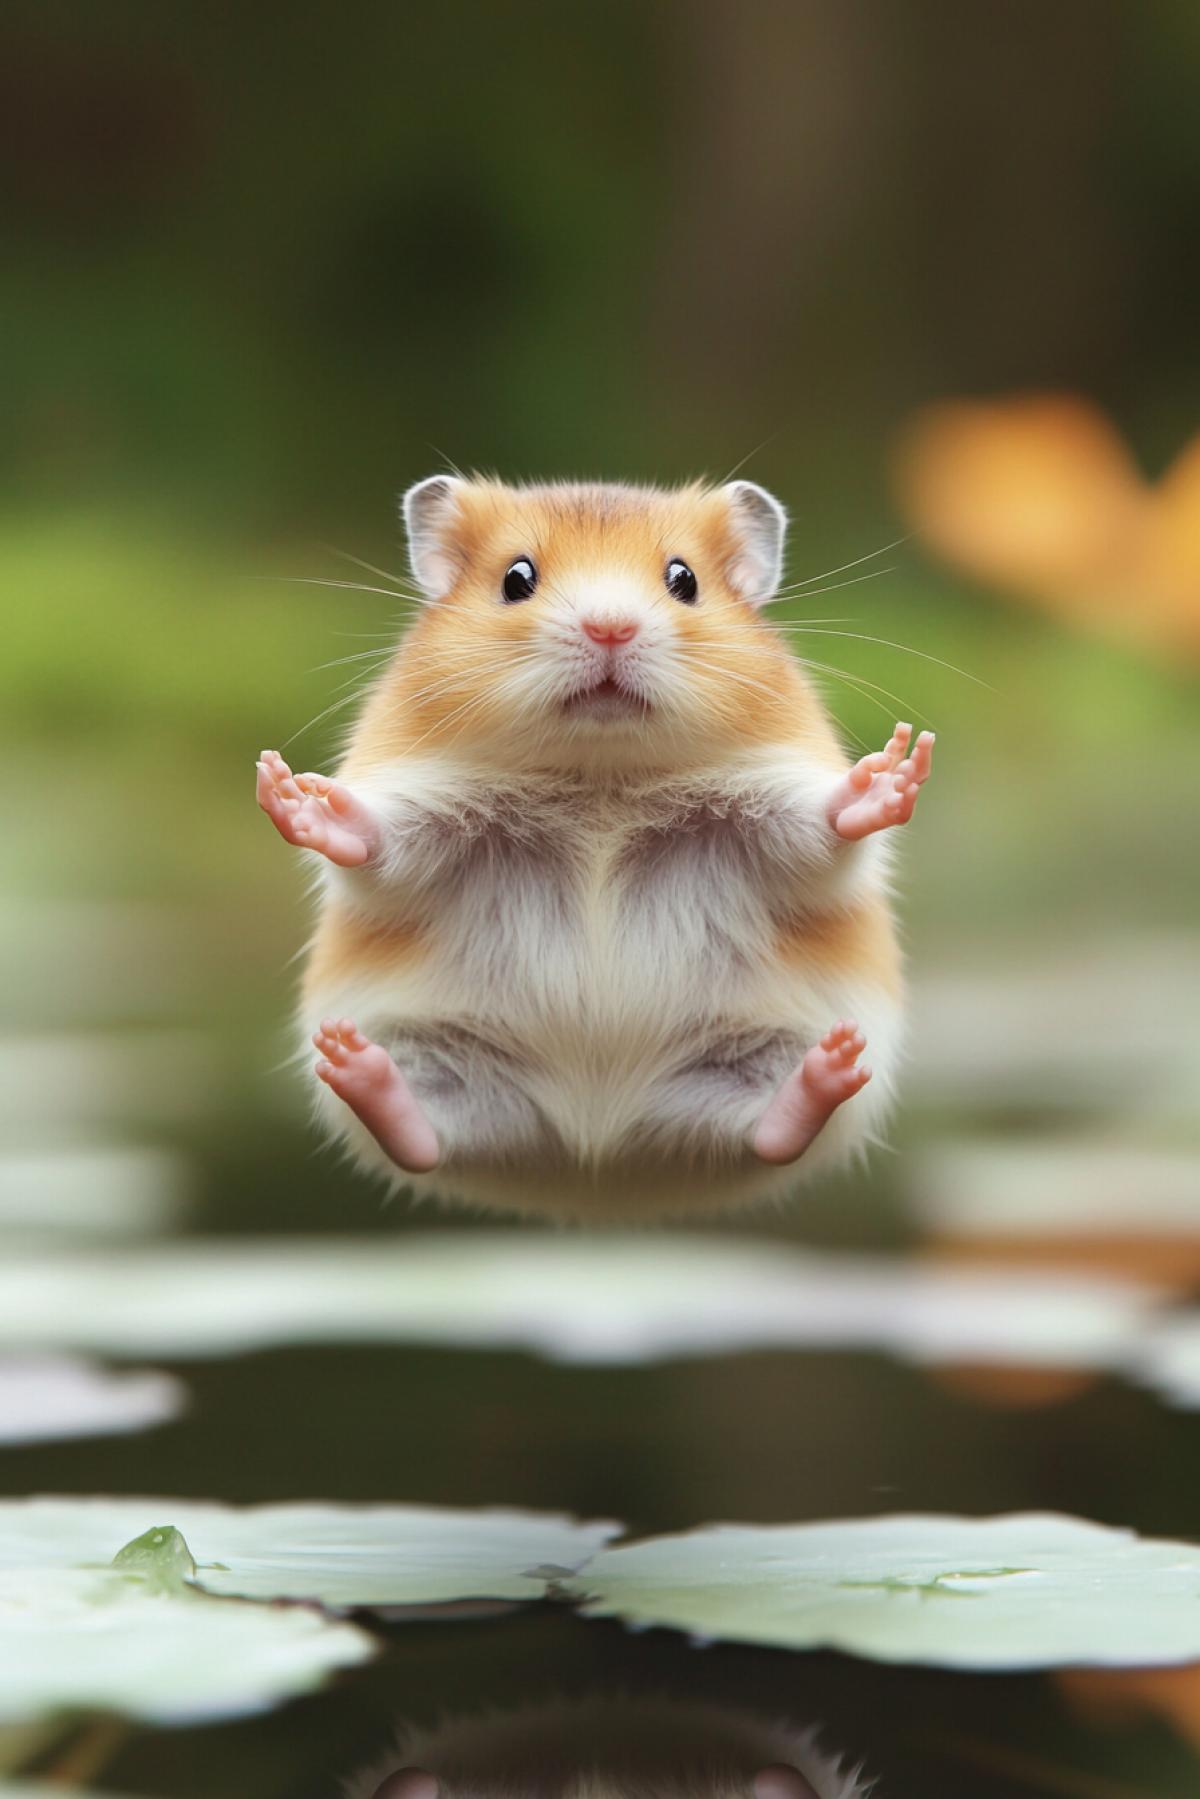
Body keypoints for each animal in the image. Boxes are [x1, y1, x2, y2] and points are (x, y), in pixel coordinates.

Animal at [257, 475, 934, 1221]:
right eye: (516, 579)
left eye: (684, 580)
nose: (610, 627)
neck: (600, 776)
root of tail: (594, 1163)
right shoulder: (424, 812)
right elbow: (373, 841)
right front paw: (285, 789)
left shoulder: (775, 806)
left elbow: (829, 828)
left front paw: (897, 767)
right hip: (432, 1053)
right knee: (420, 1141)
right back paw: (351, 1062)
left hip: (759, 1055)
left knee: (774, 1136)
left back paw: (835, 1063)